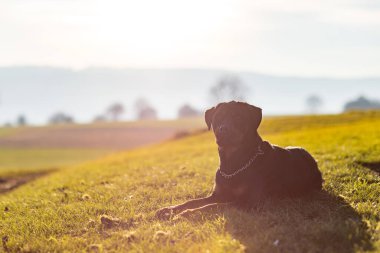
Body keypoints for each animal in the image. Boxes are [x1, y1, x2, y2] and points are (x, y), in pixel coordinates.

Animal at [156, 100, 322, 217]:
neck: (233, 164)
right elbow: (193, 201)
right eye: (218, 118)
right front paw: (170, 209)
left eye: (238, 117)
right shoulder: (218, 194)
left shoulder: (249, 201)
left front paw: (187, 214)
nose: (223, 129)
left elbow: (214, 206)